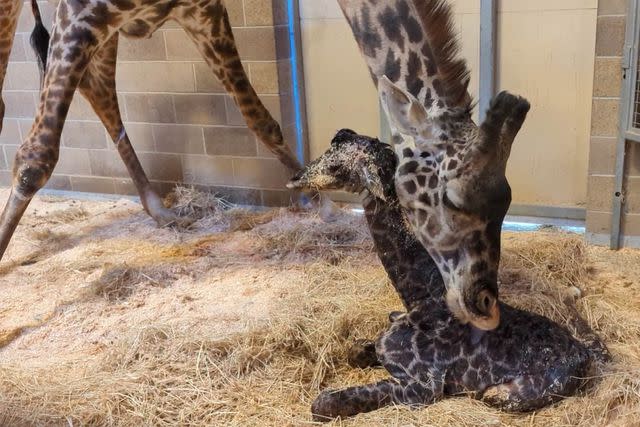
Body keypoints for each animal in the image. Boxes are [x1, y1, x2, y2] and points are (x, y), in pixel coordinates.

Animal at [288, 130, 608, 422]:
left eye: (336, 166)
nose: (295, 178)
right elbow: (355, 351)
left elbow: (324, 403)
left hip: (501, 394)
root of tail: (584, 355)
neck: (419, 296)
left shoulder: (423, 386)